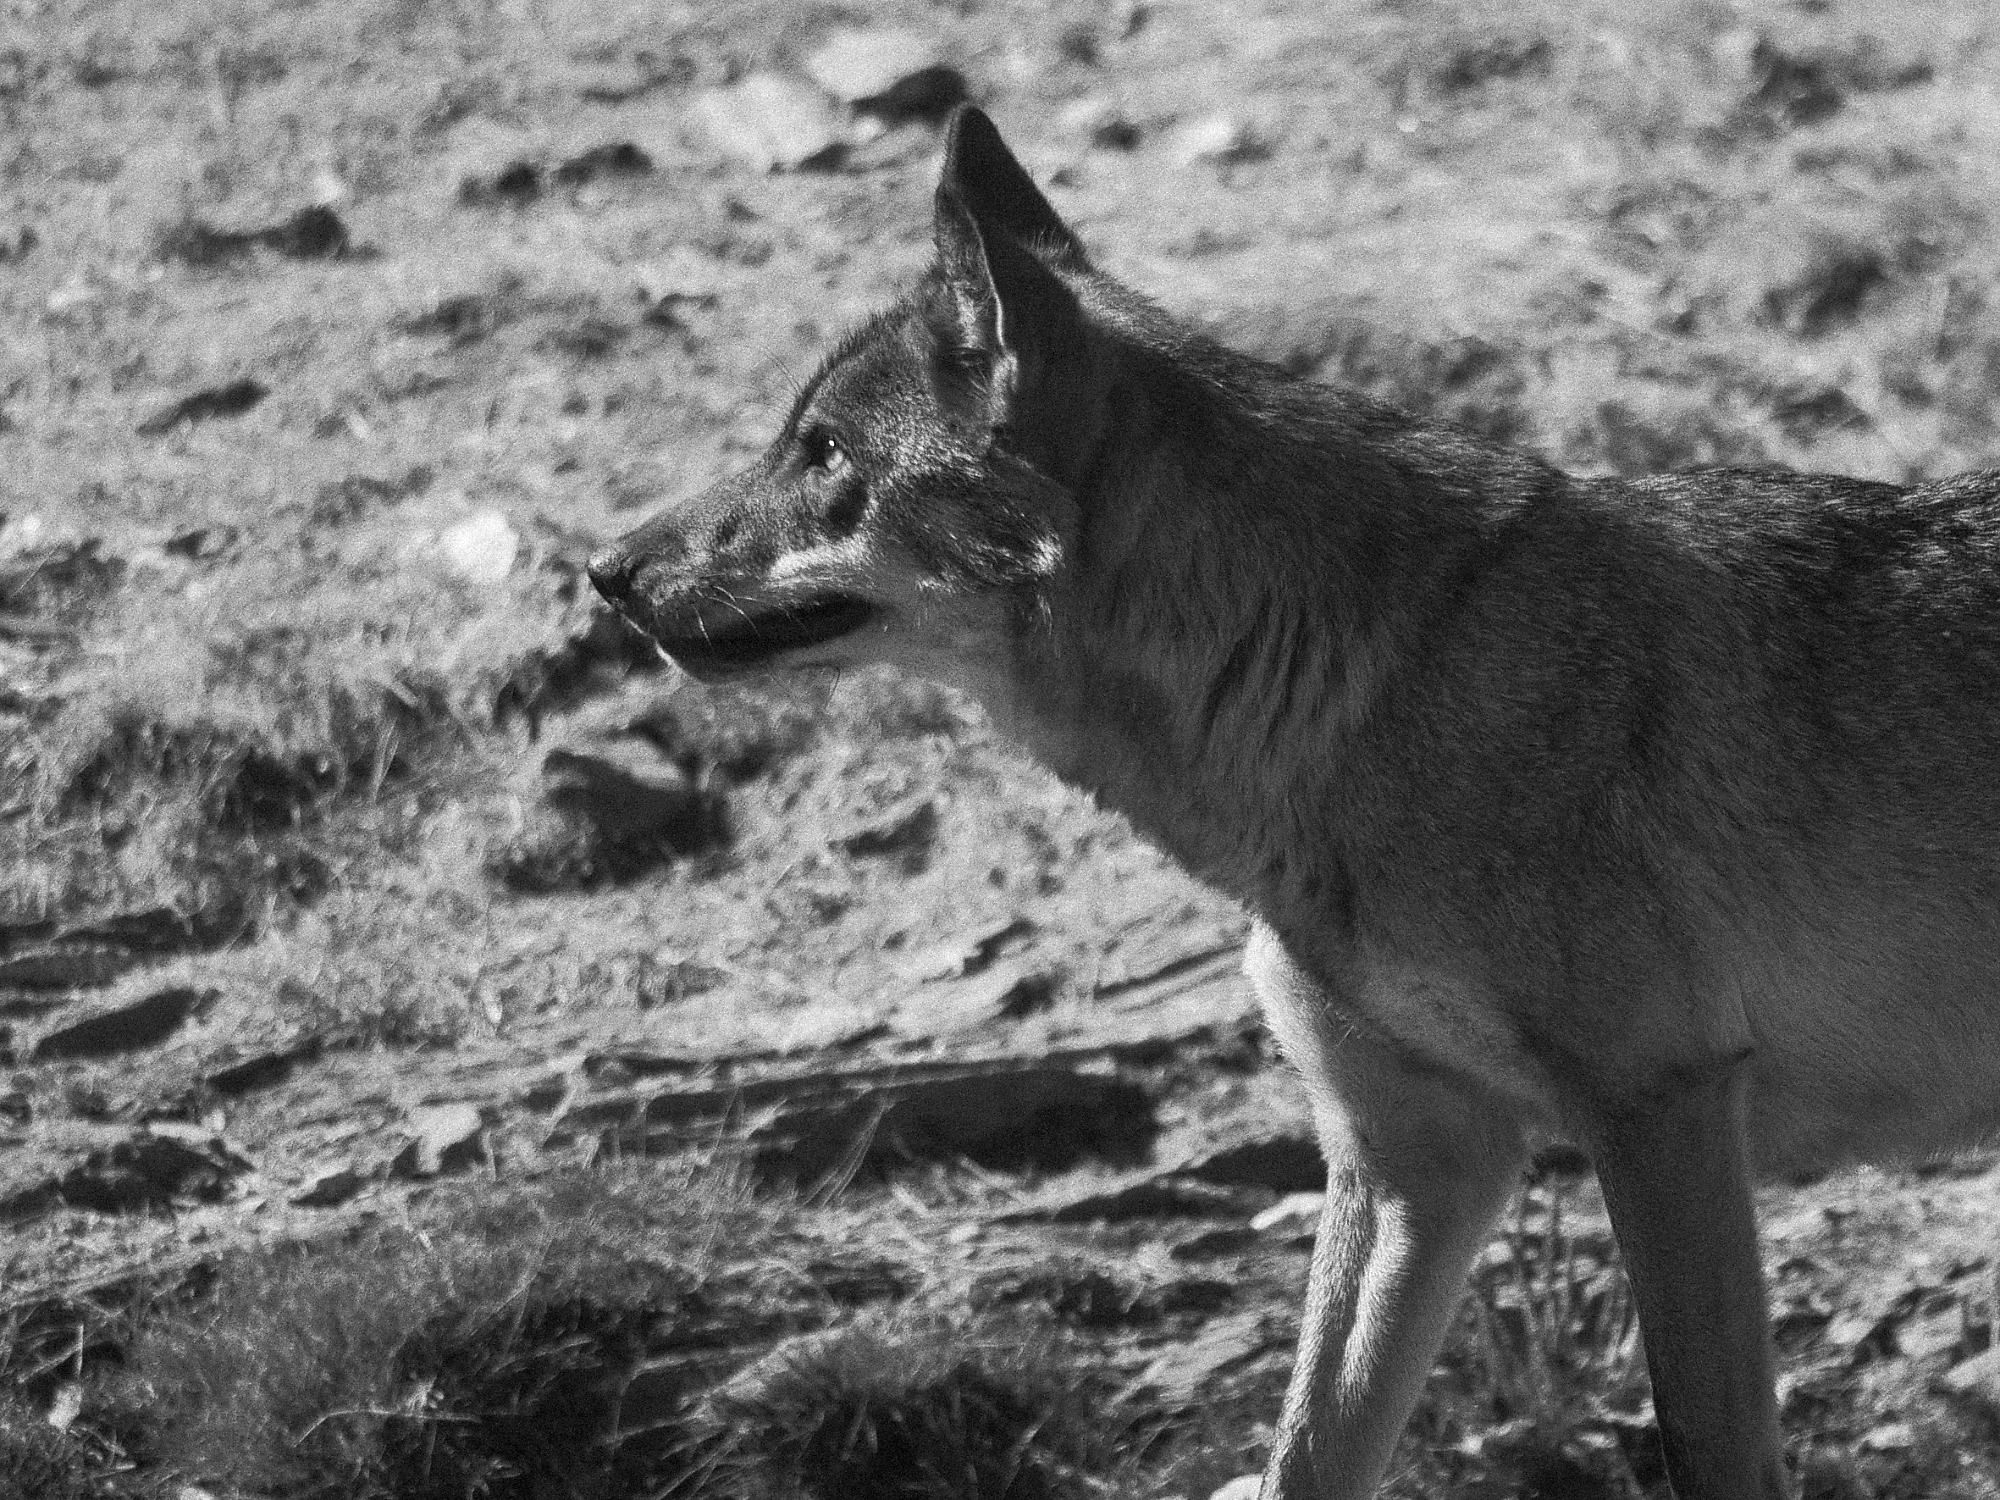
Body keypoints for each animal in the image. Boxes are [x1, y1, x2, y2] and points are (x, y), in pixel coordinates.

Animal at [590, 105, 2000, 1500]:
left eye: (821, 451)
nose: (603, 568)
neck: (1366, 687)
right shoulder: (1412, 1163)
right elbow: (1302, 1454)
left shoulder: (1662, 1109)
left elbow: (1704, 1442)